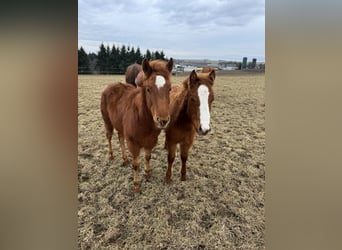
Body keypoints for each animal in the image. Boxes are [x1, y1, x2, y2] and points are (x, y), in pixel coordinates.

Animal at [100, 58, 172, 193]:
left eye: (170, 89)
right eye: (148, 89)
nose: (163, 120)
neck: (142, 118)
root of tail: (110, 86)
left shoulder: (151, 141)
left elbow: (148, 156)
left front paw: (147, 174)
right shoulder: (133, 143)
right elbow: (136, 164)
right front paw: (136, 185)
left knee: (120, 138)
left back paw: (124, 159)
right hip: (107, 121)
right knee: (109, 136)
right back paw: (111, 156)